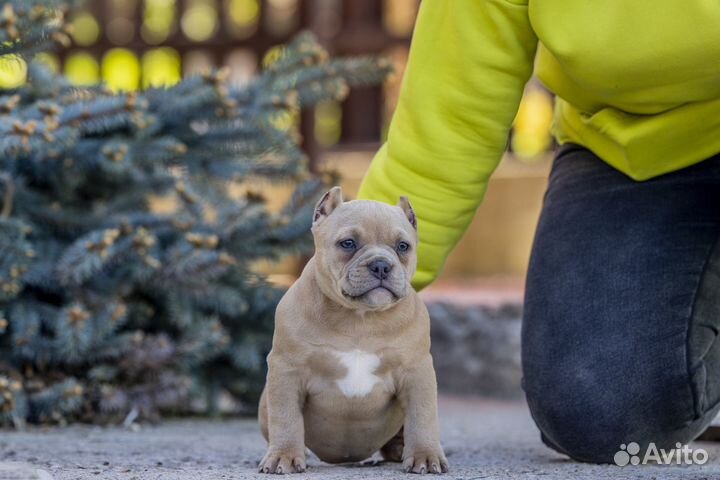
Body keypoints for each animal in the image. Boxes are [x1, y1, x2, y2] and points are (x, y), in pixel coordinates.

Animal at [258, 186, 448, 474]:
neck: (361, 318)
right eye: (348, 243)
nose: (381, 265)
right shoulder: (287, 369)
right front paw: (284, 456)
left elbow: (423, 416)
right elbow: (286, 417)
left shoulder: (417, 372)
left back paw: (400, 449)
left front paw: (425, 455)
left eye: (402, 246)